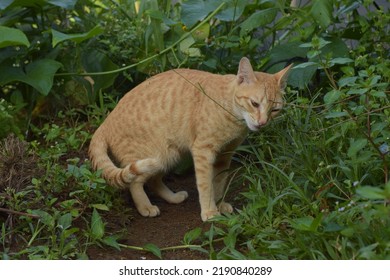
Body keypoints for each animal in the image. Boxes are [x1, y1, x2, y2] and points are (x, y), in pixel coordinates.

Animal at [88, 58, 290, 221]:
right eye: (254, 103)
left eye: (274, 110)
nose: (263, 123)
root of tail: (105, 122)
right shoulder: (203, 152)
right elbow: (206, 185)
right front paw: (210, 211)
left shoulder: (225, 155)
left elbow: (219, 182)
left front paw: (219, 203)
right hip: (154, 157)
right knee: (135, 182)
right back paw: (146, 207)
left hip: (168, 157)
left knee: (153, 181)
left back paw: (173, 198)